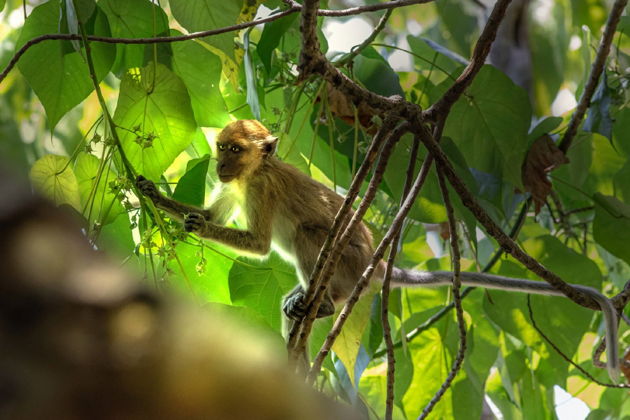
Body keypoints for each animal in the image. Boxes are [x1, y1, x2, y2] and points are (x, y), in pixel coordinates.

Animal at [136, 120, 624, 382]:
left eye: (235, 149)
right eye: (221, 148)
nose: (220, 164)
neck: (253, 171)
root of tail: (375, 265)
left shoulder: (260, 188)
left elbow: (258, 244)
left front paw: (194, 224)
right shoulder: (236, 186)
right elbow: (214, 212)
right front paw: (154, 195)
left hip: (347, 262)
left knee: (309, 235)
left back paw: (322, 303)